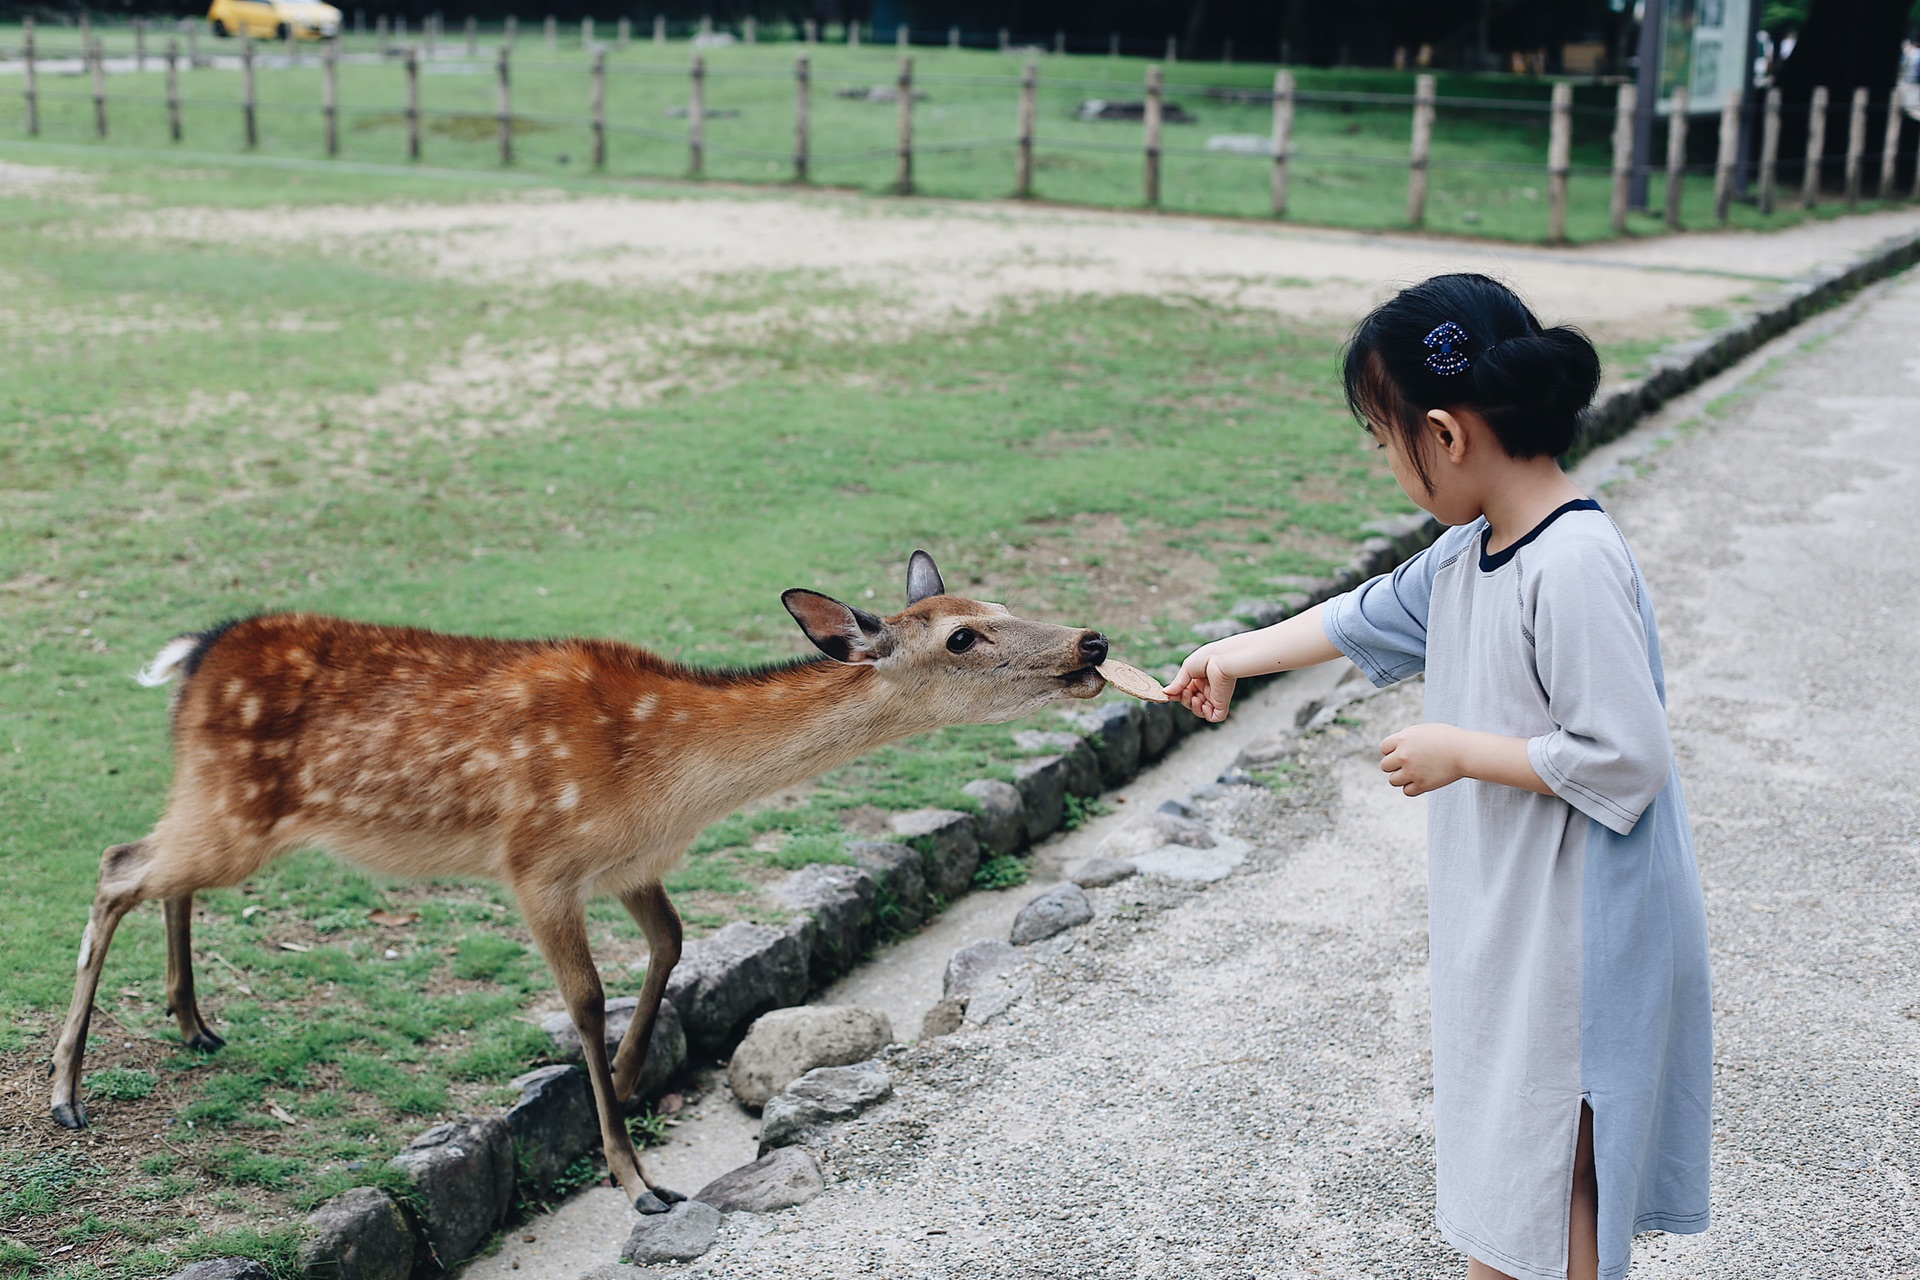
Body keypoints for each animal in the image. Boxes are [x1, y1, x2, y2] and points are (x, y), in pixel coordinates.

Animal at [52, 552, 1113, 1212]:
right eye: (961, 638)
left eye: (1000, 606)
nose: (1091, 643)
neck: (669, 784)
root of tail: (193, 658)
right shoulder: (536, 862)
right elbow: (584, 998)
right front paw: (636, 1179)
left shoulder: (632, 864)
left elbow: (673, 945)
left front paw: (640, 1077)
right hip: (234, 810)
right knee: (115, 866)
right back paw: (66, 1093)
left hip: (229, 815)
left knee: (156, 872)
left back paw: (195, 1024)